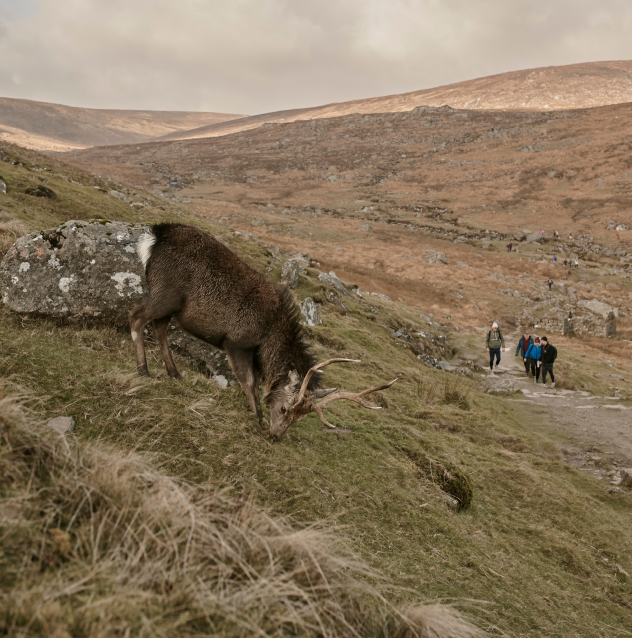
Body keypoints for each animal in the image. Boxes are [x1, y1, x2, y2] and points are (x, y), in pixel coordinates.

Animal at [128, 224, 396, 440]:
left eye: (300, 416)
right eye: (285, 409)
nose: (276, 436)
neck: (268, 339)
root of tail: (154, 235)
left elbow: (255, 383)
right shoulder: (236, 343)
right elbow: (249, 382)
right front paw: (257, 417)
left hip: (170, 306)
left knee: (159, 328)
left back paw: (174, 373)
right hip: (165, 294)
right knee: (137, 317)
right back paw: (143, 370)